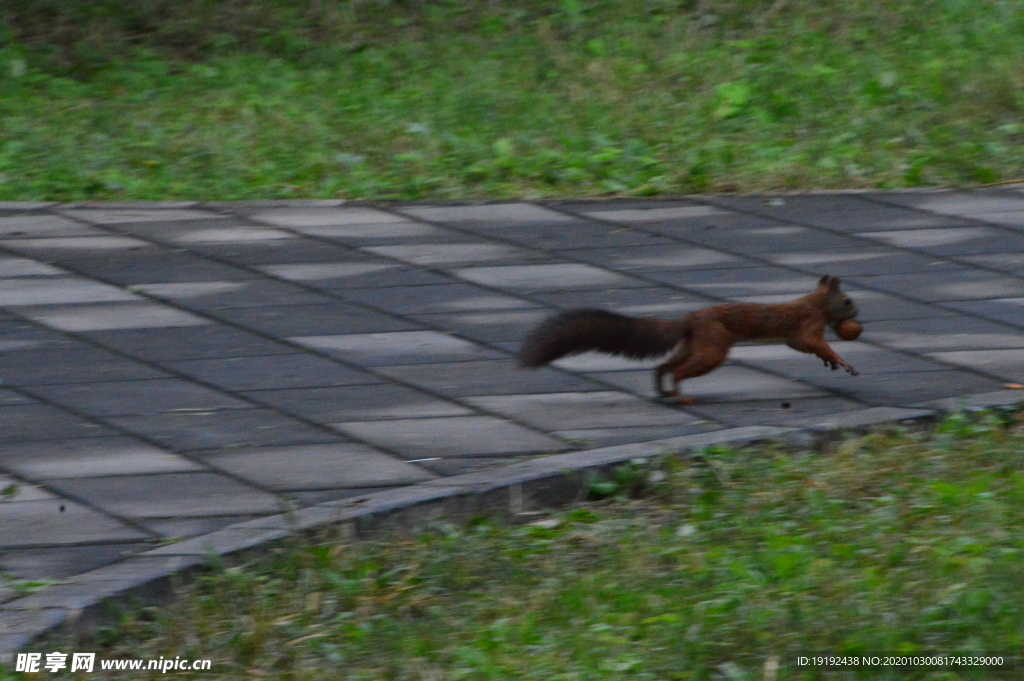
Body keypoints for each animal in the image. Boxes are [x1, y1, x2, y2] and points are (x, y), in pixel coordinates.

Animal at [516, 274, 860, 403]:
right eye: (847, 300)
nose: (858, 314)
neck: (816, 304)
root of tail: (691, 320)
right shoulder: (808, 326)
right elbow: (816, 343)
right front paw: (841, 361)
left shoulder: (797, 337)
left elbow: (805, 347)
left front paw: (830, 362)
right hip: (713, 348)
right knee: (681, 371)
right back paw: (681, 395)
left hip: (697, 345)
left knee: (665, 366)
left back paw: (664, 390)